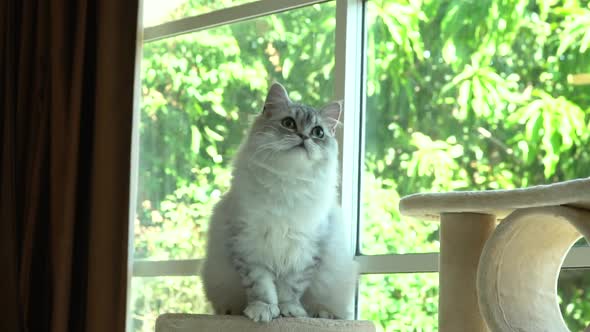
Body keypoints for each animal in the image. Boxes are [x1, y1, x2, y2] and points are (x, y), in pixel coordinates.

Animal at [202, 82, 360, 322]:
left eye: (318, 132)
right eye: (288, 123)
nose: (304, 136)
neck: (287, 182)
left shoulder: (304, 252)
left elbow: (290, 289)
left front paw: (290, 312)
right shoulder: (247, 246)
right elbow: (261, 288)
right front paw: (263, 311)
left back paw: (322, 314)